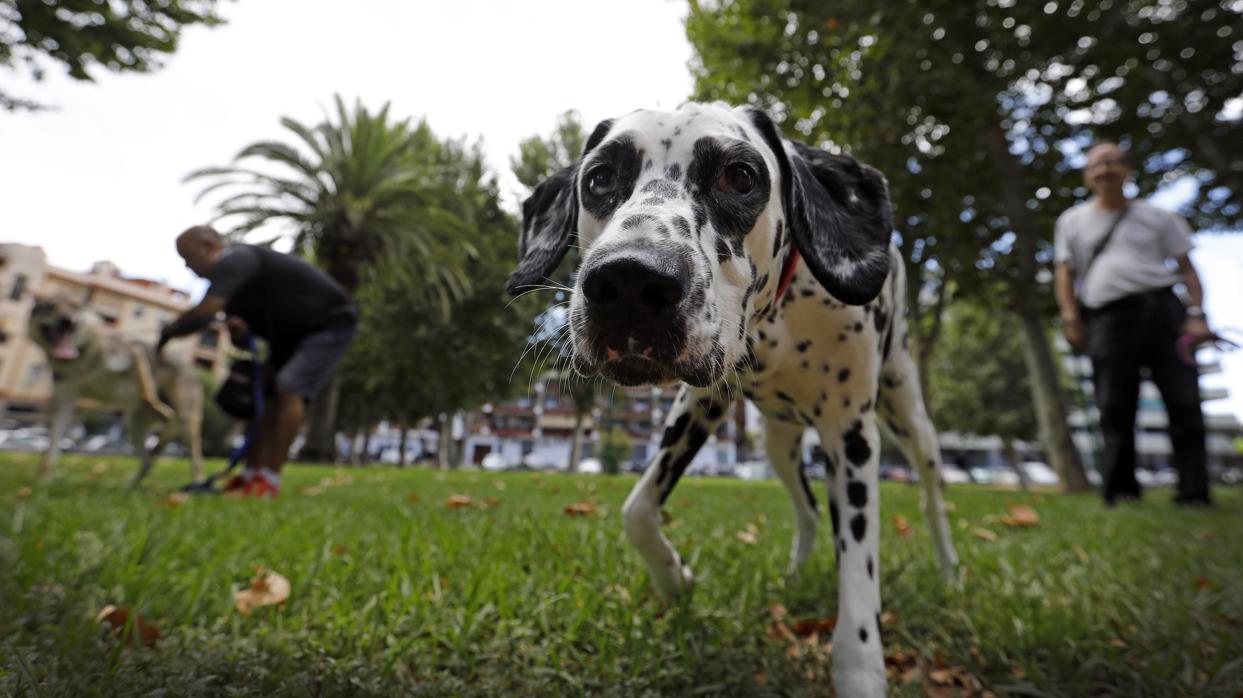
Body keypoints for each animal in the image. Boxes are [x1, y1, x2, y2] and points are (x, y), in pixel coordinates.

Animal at [26, 293, 203, 484]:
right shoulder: (64, 401)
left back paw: (198, 481)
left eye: (74, 307)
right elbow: (51, 448)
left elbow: (147, 390)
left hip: (186, 423)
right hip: (134, 427)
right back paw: (131, 486)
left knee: (194, 456)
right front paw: (43, 481)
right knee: (148, 460)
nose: (66, 320)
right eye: (50, 307)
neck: (79, 360)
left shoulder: (133, 353)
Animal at [504, 103, 959, 695]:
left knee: (931, 498)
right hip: (778, 445)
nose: (629, 280)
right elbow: (638, 511)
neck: (781, 319)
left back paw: (950, 571)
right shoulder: (699, 406)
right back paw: (795, 574)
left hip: (909, 416)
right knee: (809, 509)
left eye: (739, 176)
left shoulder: (852, 436)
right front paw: (675, 580)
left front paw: (860, 669)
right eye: (599, 178)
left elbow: (859, 587)